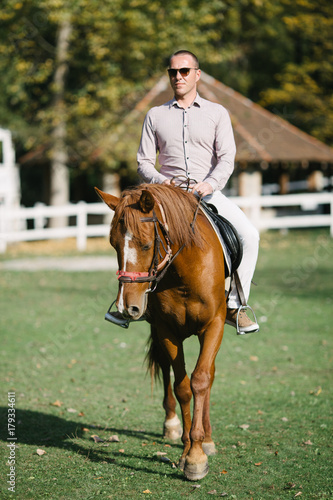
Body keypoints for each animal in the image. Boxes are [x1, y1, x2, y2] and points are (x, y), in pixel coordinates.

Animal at [94, 184, 227, 480]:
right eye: (113, 244)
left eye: (145, 244)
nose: (126, 306)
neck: (185, 275)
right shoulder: (167, 330)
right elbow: (182, 387)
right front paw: (189, 453)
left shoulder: (214, 325)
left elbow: (201, 379)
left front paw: (199, 451)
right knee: (167, 370)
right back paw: (172, 425)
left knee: (209, 375)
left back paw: (208, 437)